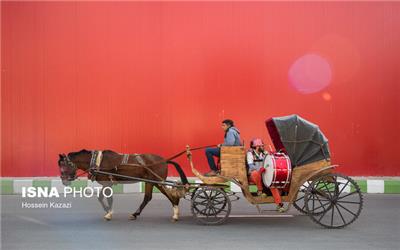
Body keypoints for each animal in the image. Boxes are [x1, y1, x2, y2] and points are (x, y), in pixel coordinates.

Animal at [57, 148, 189, 221]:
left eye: (63, 165)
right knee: (148, 197)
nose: (64, 181)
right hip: (150, 182)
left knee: (168, 195)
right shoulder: (108, 183)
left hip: (158, 181)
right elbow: (102, 197)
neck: (98, 161)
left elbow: (105, 198)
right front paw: (108, 211)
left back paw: (175, 212)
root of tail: (164, 160)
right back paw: (135, 214)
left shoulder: (107, 183)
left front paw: (109, 213)